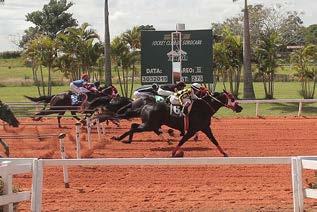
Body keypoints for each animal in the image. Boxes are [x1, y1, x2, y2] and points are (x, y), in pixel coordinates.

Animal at [112, 90, 243, 157]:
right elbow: (183, 140)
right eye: (232, 98)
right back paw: (119, 138)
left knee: (134, 126)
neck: (204, 108)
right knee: (134, 128)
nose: (240, 108)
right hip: (149, 125)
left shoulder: (205, 128)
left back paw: (124, 139)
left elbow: (214, 140)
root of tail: (145, 106)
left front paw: (224, 153)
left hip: (150, 124)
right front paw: (174, 152)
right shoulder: (193, 130)